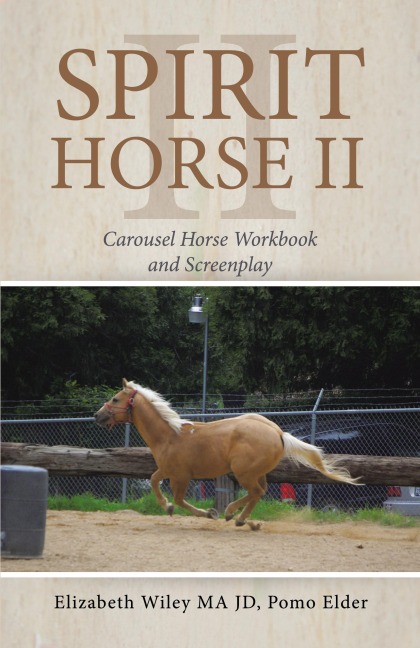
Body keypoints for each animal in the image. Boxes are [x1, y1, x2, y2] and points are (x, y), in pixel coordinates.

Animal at [94, 379, 360, 530]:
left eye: (115, 398)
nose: (98, 416)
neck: (170, 435)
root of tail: (278, 432)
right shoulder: (167, 470)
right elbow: (152, 480)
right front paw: (166, 506)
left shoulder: (180, 476)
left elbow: (179, 499)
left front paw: (206, 513)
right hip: (257, 473)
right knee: (259, 493)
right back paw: (244, 520)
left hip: (244, 472)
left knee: (255, 492)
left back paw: (231, 513)